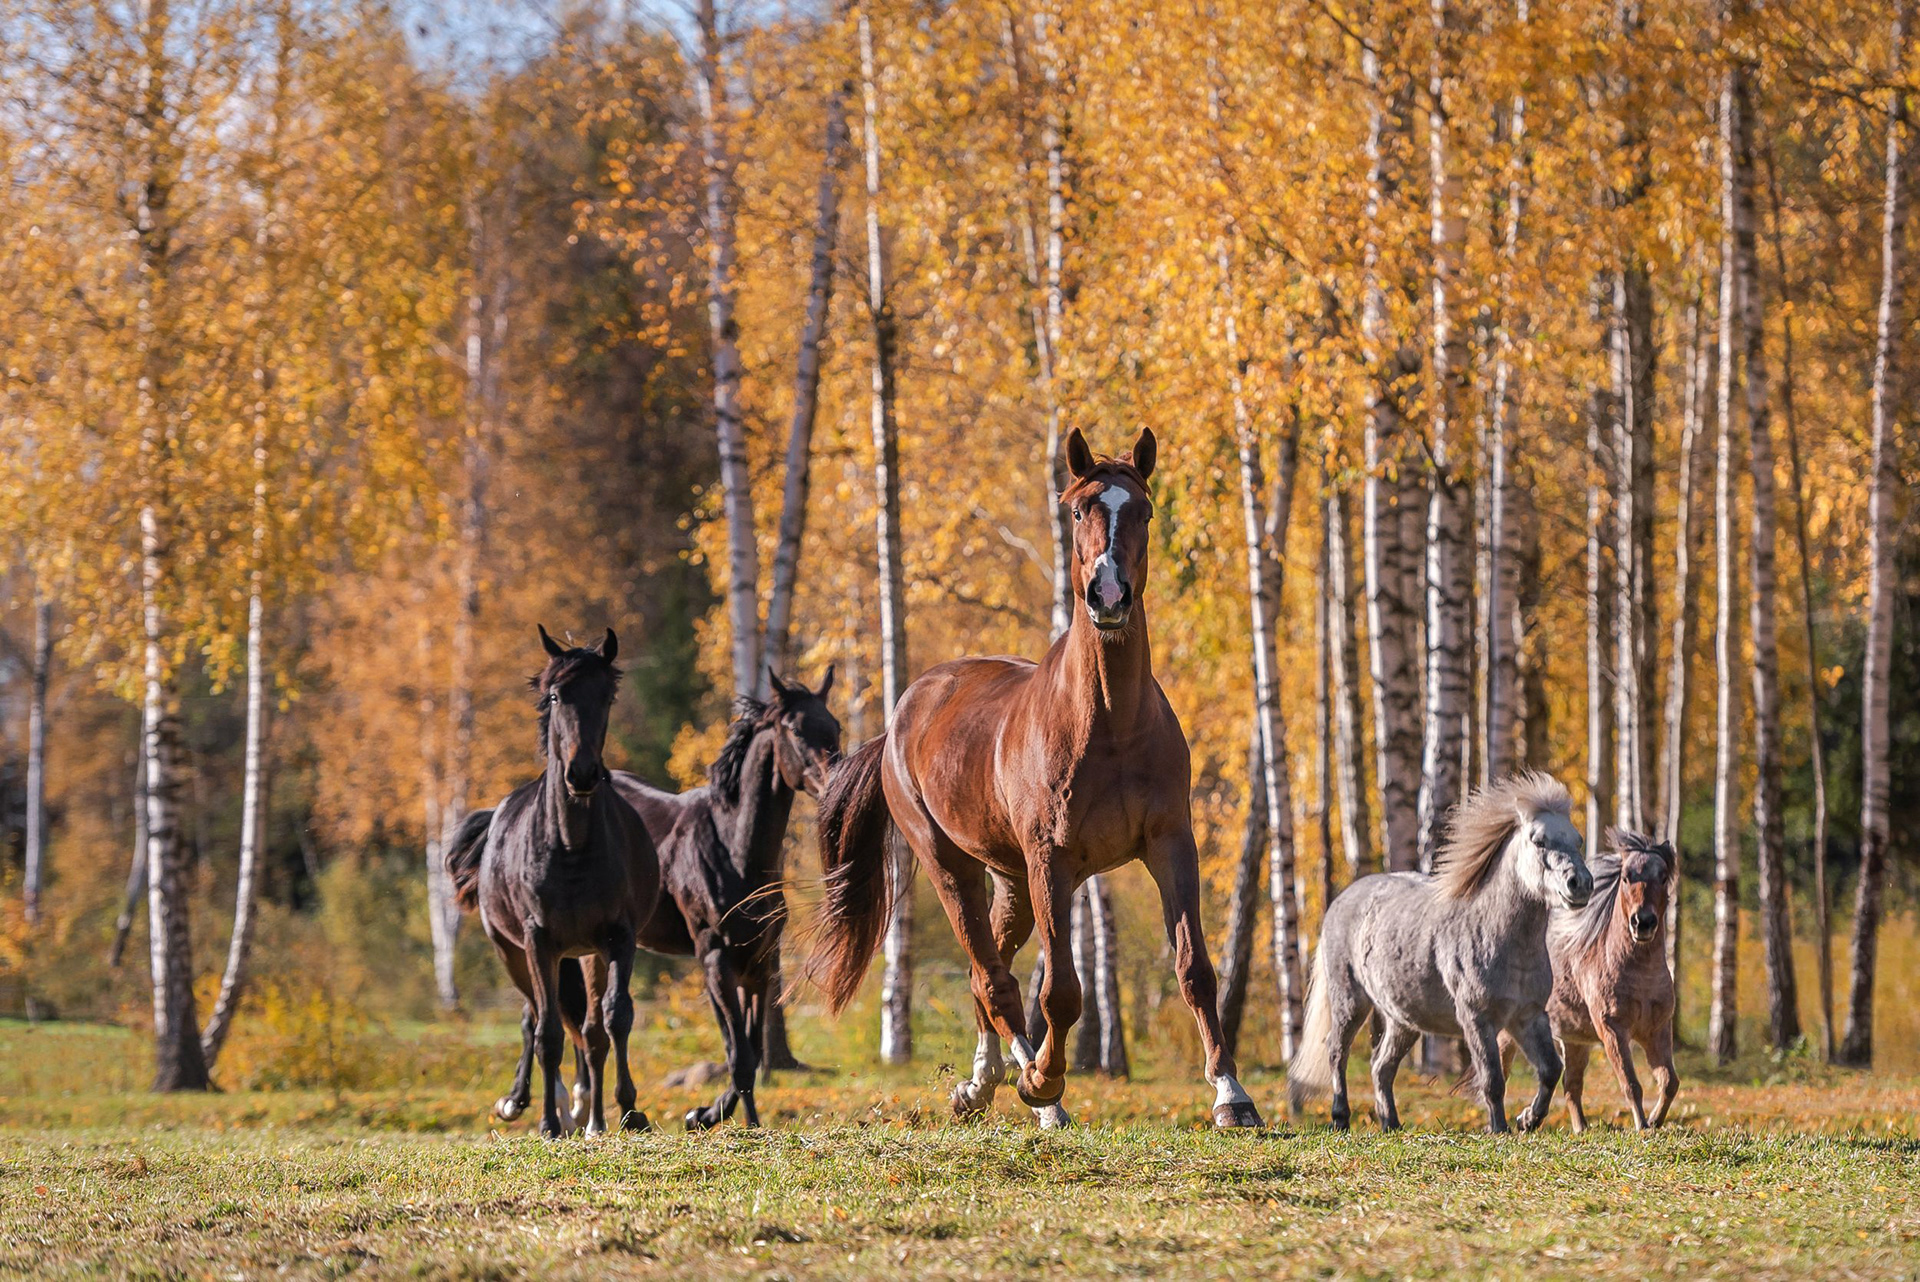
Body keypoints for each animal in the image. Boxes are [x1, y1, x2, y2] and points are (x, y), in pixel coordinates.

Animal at [445, 626, 660, 1137]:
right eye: (557, 695)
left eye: (606, 696)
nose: (580, 774)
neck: (571, 847)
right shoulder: (537, 940)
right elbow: (546, 1033)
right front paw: (547, 1121)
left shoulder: (617, 938)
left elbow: (614, 1019)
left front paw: (627, 1111)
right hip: (513, 952)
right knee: (533, 1017)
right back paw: (527, 1102)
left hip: (583, 953)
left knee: (588, 1028)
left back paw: (588, 1113)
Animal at [459, 670, 841, 1131]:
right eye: (796, 730)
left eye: (835, 726)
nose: (835, 780)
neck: (733, 849)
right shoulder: (714, 957)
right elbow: (738, 1052)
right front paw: (718, 1117)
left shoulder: (760, 962)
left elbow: (751, 1047)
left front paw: (713, 1114)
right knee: (543, 1017)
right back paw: (523, 1102)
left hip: (591, 952)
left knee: (583, 1024)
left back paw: (582, 1112)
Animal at [806, 427, 1263, 1130]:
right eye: (1076, 510)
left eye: (1144, 510)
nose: (1109, 594)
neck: (1110, 723)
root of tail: (902, 717)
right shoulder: (1054, 861)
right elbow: (1063, 991)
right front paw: (1046, 1081)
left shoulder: (1170, 845)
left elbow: (1195, 968)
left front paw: (1231, 1095)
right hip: (952, 866)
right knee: (992, 977)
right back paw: (1033, 1089)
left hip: (1012, 881)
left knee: (988, 972)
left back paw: (981, 1085)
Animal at [1287, 773, 1593, 1134]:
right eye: (1539, 841)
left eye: (1578, 840)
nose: (1580, 884)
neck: (1500, 939)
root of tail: (1341, 900)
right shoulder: (1476, 1018)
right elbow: (1492, 1079)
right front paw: (1498, 1128)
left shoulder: (1528, 1016)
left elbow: (1550, 1069)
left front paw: (1528, 1119)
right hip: (1350, 1001)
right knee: (1337, 1052)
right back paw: (1340, 1117)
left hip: (1402, 1021)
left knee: (1381, 1066)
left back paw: (1391, 1123)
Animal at [1500, 830, 1679, 1131]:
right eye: (1627, 877)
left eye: (1663, 876)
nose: (1643, 922)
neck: (1641, 976)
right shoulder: (1613, 1030)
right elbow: (1631, 1084)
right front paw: (1643, 1126)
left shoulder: (1657, 1031)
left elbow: (1669, 1083)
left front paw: (1655, 1121)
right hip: (1510, 1032)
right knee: (1502, 1072)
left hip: (1574, 1042)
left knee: (1570, 1086)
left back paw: (1562, 1125)